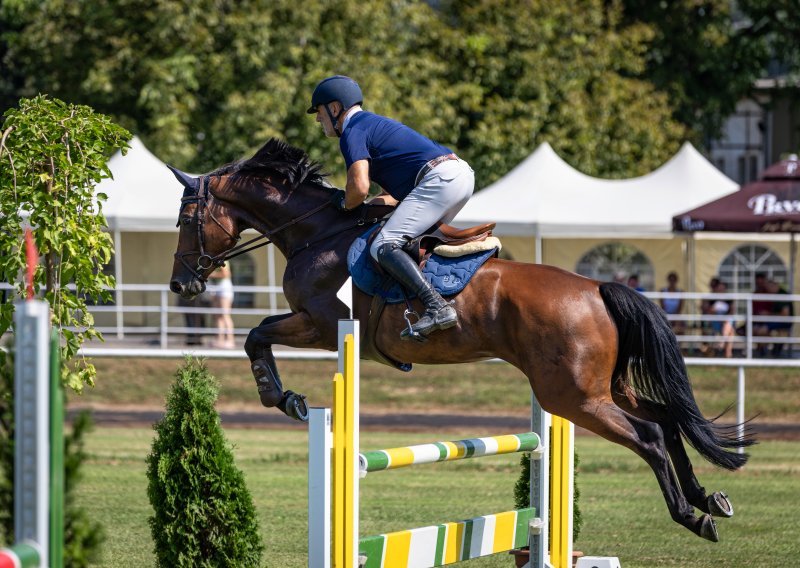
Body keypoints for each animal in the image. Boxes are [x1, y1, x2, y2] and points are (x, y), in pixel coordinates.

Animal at [167, 136, 752, 540]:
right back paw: (709, 499)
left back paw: (690, 516)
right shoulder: (314, 321)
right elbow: (259, 333)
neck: (318, 233)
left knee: (650, 436)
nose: (181, 284)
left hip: (572, 395)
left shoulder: (321, 321)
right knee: (668, 420)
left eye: (185, 219)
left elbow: (256, 334)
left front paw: (282, 397)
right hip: (601, 387)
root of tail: (596, 287)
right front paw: (284, 396)